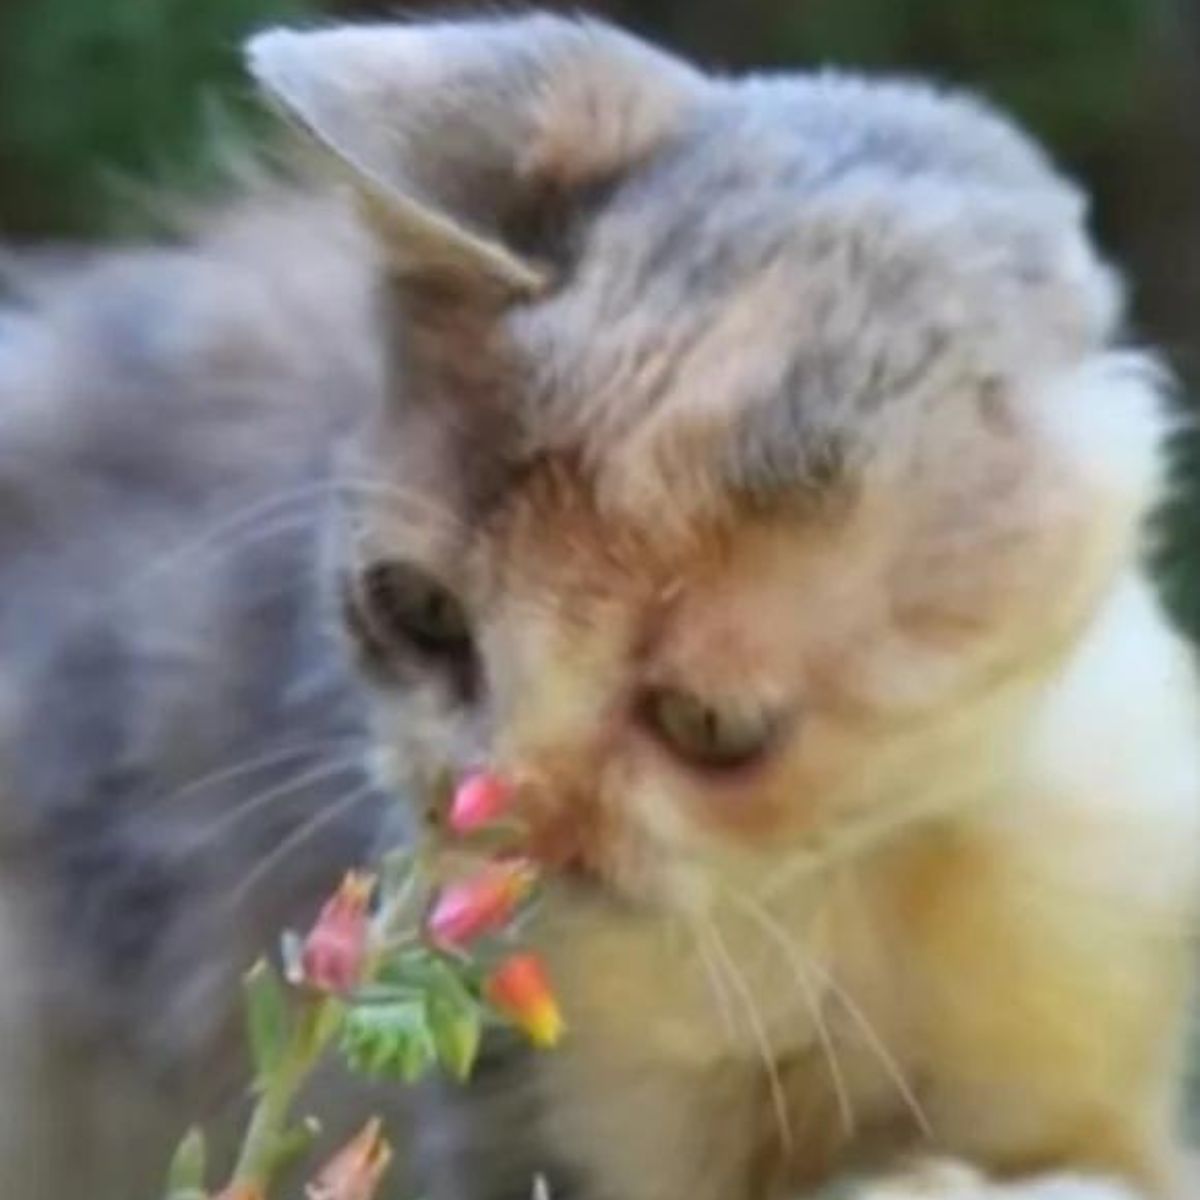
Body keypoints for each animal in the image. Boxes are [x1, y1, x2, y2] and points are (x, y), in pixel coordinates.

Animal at [0, 9, 1195, 1200]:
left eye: (711, 724)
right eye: (420, 612)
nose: (487, 810)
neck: (817, 902)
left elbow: (1087, 1167)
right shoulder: (509, 1135)